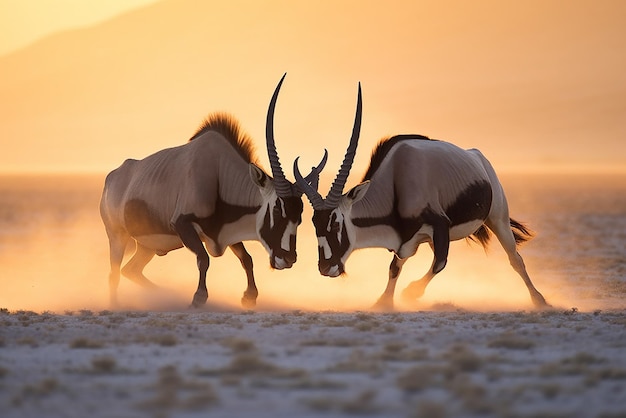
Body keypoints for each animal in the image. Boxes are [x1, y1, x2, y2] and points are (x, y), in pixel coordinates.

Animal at [98, 75, 326, 308]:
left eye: (300, 217)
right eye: (277, 210)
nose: (287, 258)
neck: (218, 172)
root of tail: (112, 177)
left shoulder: (225, 231)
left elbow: (246, 259)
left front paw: (249, 297)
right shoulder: (183, 225)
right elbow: (204, 259)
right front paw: (199, 297)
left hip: (146, 247)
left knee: (130, 270)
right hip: (117, 236)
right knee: (114, 273)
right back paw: (117, 304)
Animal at [292, 90, 544, 310]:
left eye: (336, 223)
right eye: (314, 224)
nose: (326, 267)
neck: (395, 177)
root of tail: (477, 157)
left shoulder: (439, 226)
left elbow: (439, 263)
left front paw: (410, 293)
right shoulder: (407, 241)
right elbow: (395, 268)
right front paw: (383, 302)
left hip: (497, 219)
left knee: (515, 259)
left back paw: (539, 299)